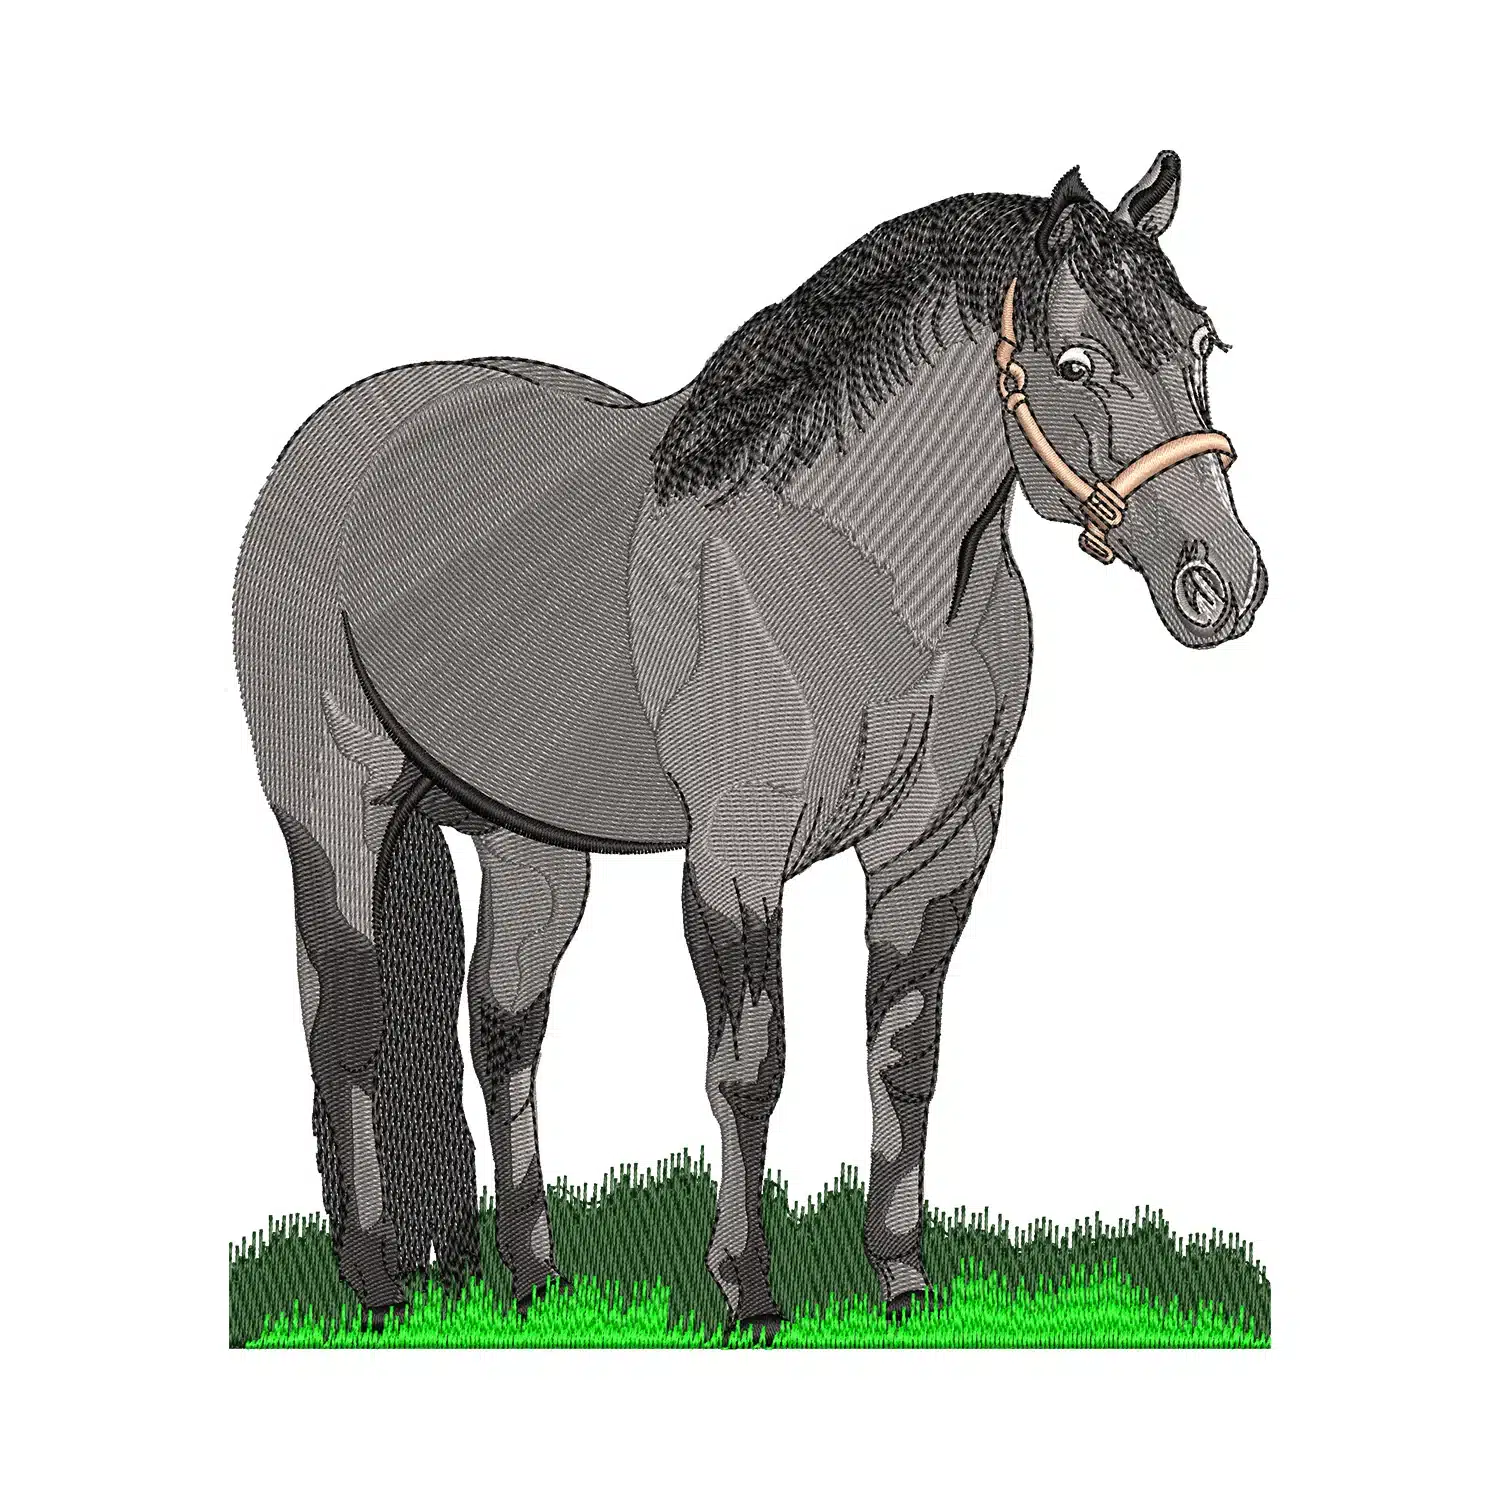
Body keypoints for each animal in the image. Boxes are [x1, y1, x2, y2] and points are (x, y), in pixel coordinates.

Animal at [233, 150, 1266, 1336]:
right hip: (333, 811)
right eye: (1078, 360)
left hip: (530, 843)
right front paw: (746, 1295)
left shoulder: (939, 851)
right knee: (348, 1019)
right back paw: (374, 1285)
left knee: (503, 1027)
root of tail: (332, 440)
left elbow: (904, 1059)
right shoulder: (738, 857)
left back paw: (532, 1280)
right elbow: (749, 1066)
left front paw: (902, 1284)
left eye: (1200, 342)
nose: (1223, 583)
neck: (859, 564)